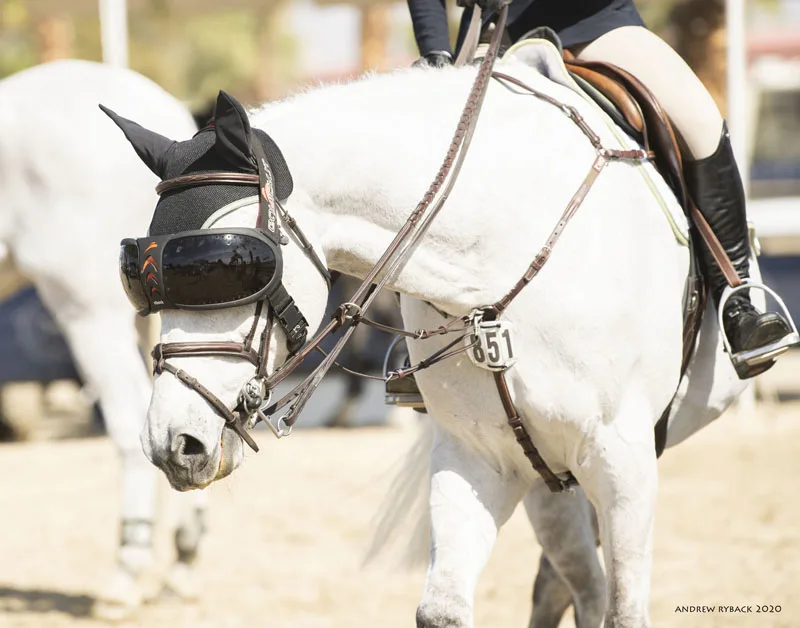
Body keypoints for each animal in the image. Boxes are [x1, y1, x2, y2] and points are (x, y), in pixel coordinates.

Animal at [105, 39, 757, 627]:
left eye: (229, 264)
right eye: (137, 277)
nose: (173, 444)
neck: (498, 265)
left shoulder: (623, 458)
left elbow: (626, 611)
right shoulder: (482, 456)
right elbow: (443, 609)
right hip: (549, 479)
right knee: (571, 584)